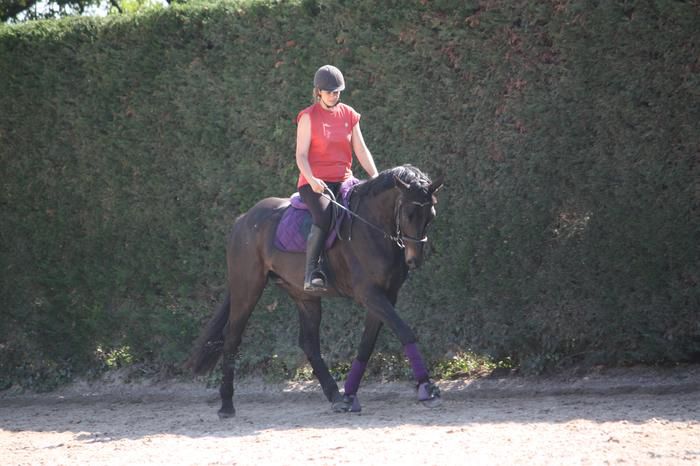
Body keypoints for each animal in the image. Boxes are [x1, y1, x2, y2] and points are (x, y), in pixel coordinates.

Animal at [187, 164, 444, 418]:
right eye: (408, 214)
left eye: (430, 216)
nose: (414, 260)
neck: (372, 227)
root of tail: (243, 219)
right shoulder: (370, 295)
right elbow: (405, 332)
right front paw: (427, 388)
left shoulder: (386, 296)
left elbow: (366, 345)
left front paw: (350, 395)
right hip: (247, 288)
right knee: (232, 338)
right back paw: (226, 405)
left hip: (304, 296)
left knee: (309, 344)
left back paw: (336, 397)